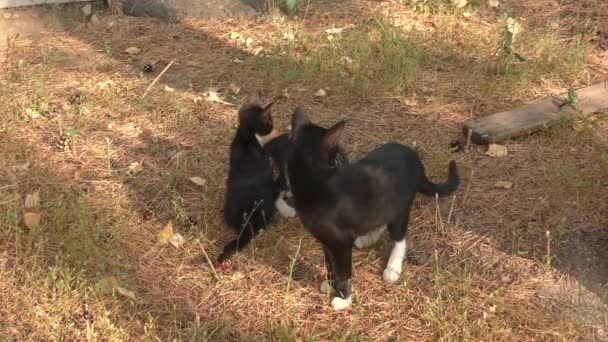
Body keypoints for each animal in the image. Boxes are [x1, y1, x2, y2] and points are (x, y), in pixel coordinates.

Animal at [217, 97, 276, 264]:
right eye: (269, 121)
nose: (273, 126)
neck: (245, 136)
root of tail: (247, 223)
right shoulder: (266, 162)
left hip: (229, 207)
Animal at [288, 107, 458, 310]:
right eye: (338, 157)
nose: (346, 160)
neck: (315, 187)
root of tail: (414, 157)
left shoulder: (340, 241)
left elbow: (343, 271)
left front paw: (343, 297)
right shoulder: (326, 240)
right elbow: (330, 265)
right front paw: (330, 285)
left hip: (400, 207)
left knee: (400, 238)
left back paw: (393, 268)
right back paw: (368, 238)